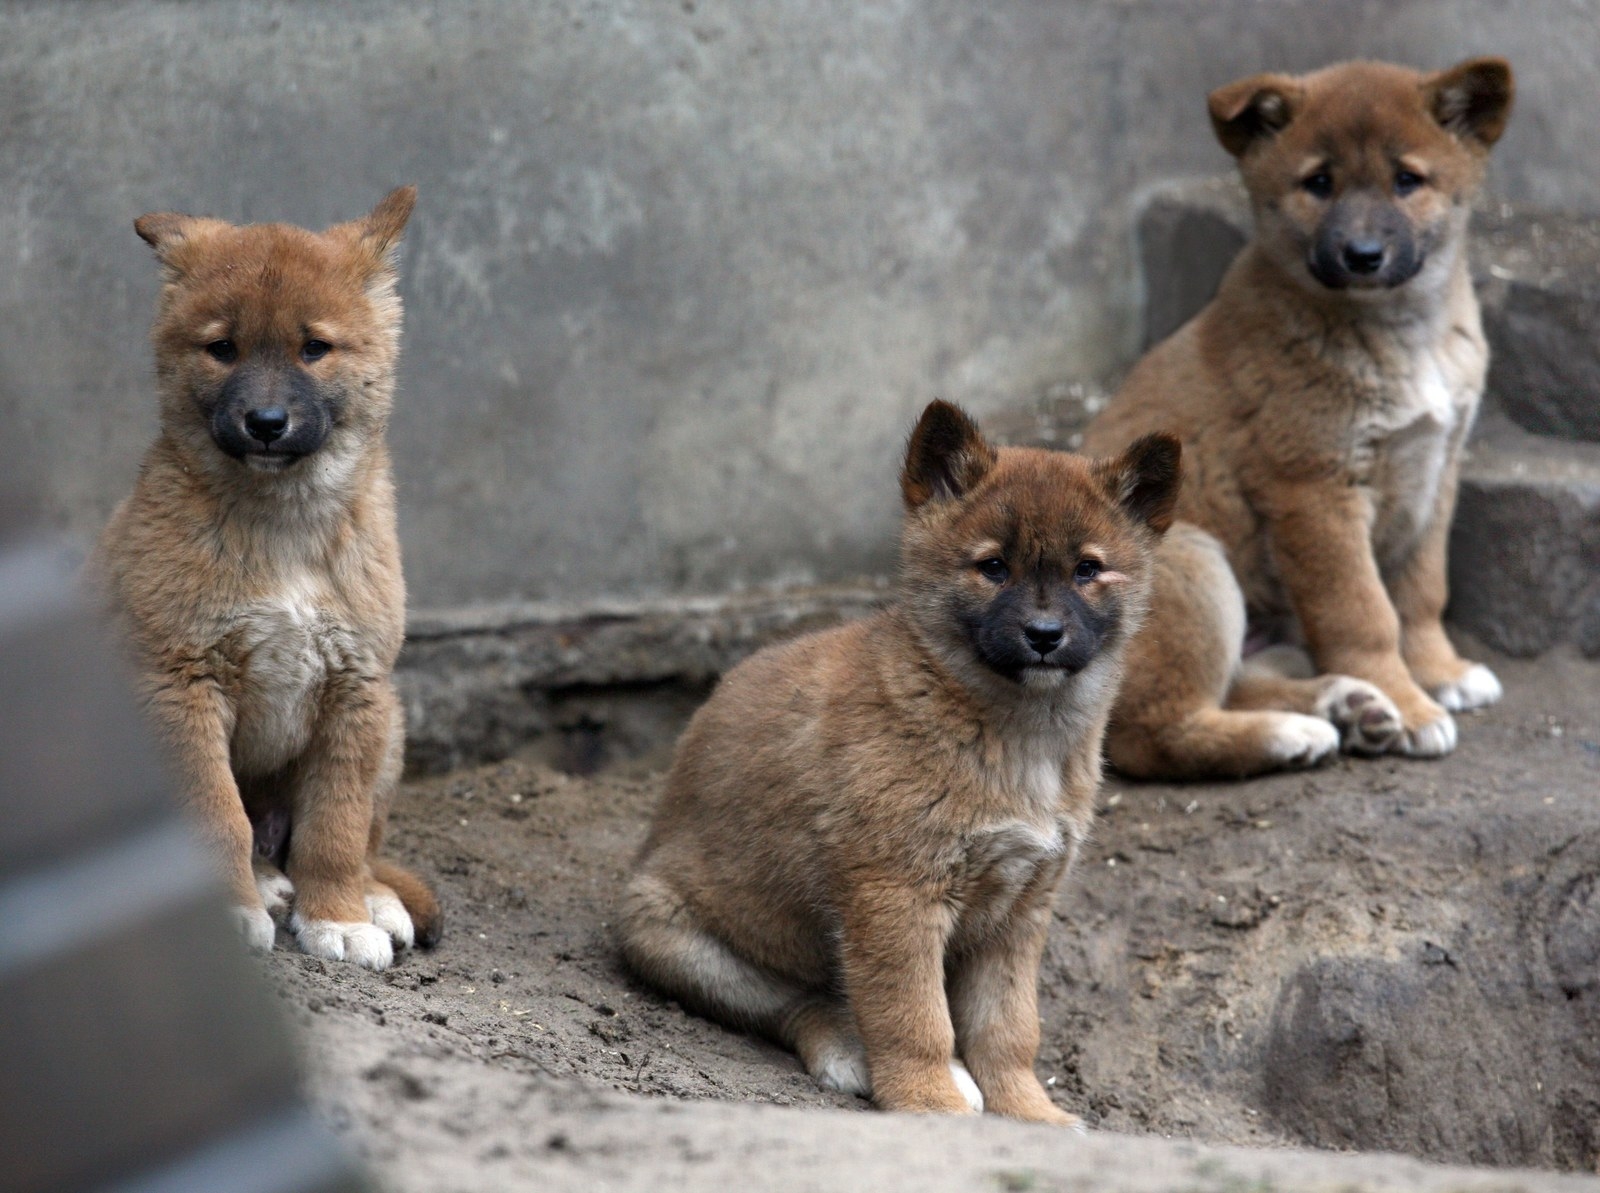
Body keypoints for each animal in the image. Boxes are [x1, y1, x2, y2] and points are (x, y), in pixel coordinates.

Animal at [93, 185, 444, 965]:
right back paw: (265, 885)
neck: (283, 529)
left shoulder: (357, 692)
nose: (266, 421)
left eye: (315, 348)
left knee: (363, 844)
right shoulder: (183, 685)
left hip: (393, 729)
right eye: (222, 349)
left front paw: (339, 916)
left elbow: (336, 828)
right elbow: (219, 816)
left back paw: (369, 898)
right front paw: (231, 911)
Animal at [617, 399, 1184, 1113]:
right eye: (993, 567)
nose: (1044, 635)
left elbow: (1008, 1029)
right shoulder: (895, 897)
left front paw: (1030, 1114)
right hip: (675, 936)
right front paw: (930, 1103)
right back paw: (848, 1054)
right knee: (800, 1004)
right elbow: (914, 1019)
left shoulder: (1019, 913)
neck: (1013, 735)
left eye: (1087, 569)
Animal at [1081, 60, 1516, 777]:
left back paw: (1347, 705)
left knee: (1237, 681)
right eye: (1318, 183)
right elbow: (1363, 614)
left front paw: (1440, 671)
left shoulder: (1437, 471)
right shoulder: (1314, 490)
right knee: (1150, 731)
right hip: (1195, 561)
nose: (1362, 254)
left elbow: (1421, 592)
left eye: (1407, 180)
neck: (1399, 332)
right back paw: (1296, 730)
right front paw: (1412, 703)